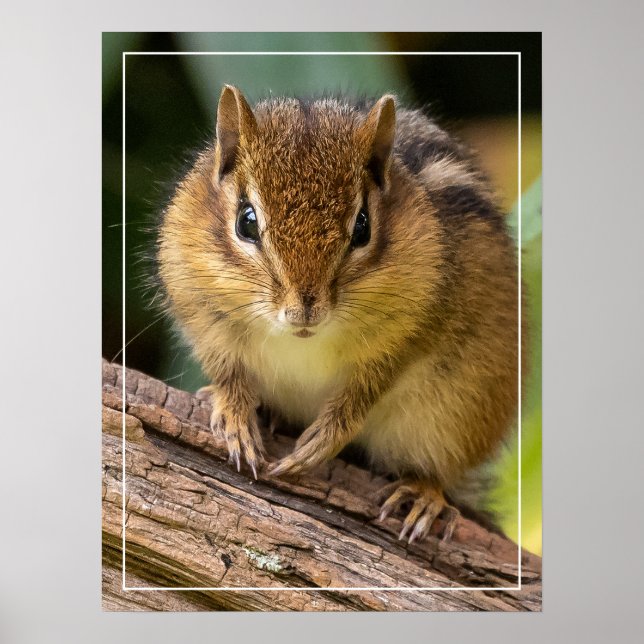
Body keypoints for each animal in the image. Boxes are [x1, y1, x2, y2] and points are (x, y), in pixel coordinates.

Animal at [157, 85, 525, 543]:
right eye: (246, 221)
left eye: (363, 226)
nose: (304, 309)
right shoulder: (200, 307)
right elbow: (227, 370)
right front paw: (235, 415)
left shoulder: (416, 329)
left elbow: (367, 388)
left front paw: (324, 440)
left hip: (456, 417)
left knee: (439, 472)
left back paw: (424, 495)